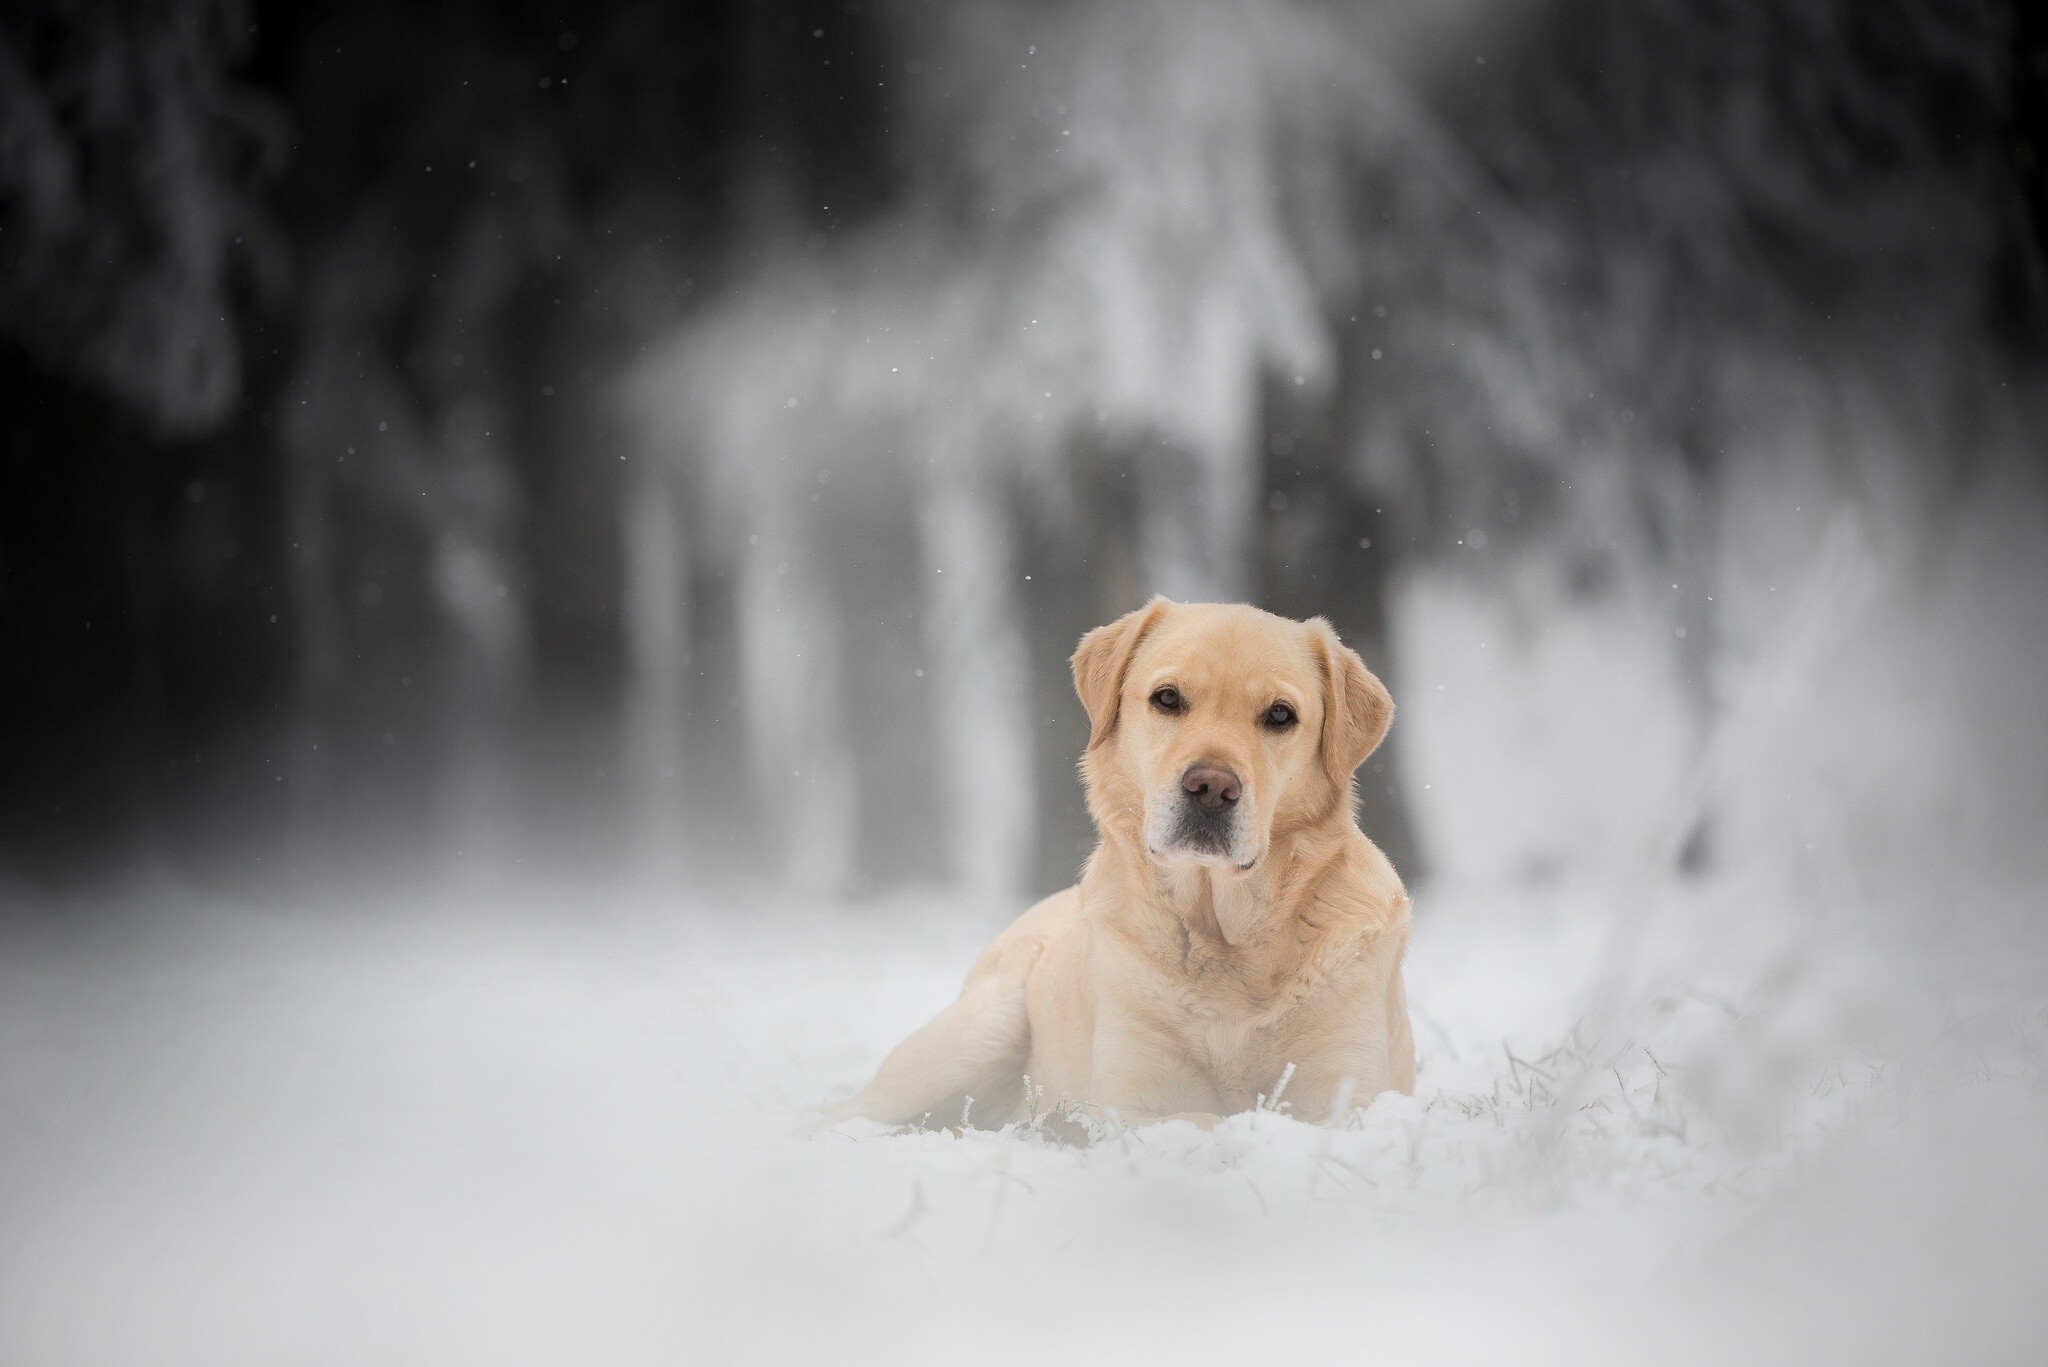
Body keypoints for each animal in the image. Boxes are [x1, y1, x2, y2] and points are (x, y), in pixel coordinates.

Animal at [823, 598, 1417, 1131]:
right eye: (1168, 698)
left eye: (1280, 714)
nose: (1211, 787)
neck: (1224, 936)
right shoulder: (1132, 1101)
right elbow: (1201, 1118)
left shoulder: (1350, 1100)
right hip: (982, 1030)